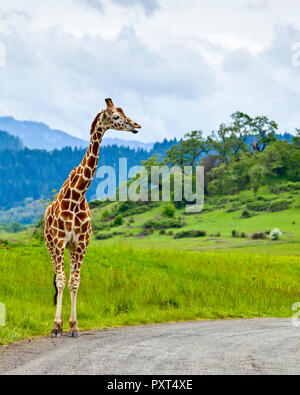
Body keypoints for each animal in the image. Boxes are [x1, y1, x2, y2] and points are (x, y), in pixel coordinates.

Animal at [44, 99, 141, 338]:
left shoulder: (80, 244)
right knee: (58, 278)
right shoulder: (59, 242)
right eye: (115, 117)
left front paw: (74, 326)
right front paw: (56, 325)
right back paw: (57, 325)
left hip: (70, 248)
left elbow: (75, 281)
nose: (136, 125)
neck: (77, 195)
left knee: (69, 278)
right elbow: (61, 281)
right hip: (51, 246)